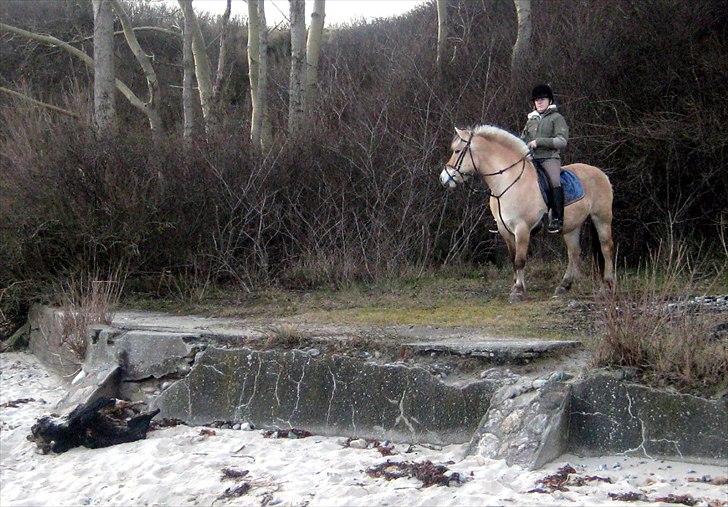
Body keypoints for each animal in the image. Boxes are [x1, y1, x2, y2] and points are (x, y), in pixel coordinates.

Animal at [438, 126, 616, 302]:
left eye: (457, 151)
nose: (443, 178)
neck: (507, 182)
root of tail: (601, 173)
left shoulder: (522, 228)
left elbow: (520, 260)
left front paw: (517, 291)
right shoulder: (504, 230)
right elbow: (513, 259)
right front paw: (516, 286)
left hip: (602, 218)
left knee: (606, 248)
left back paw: (607, 287)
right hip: (571, 226)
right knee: (574, 253)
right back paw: (564, 286)